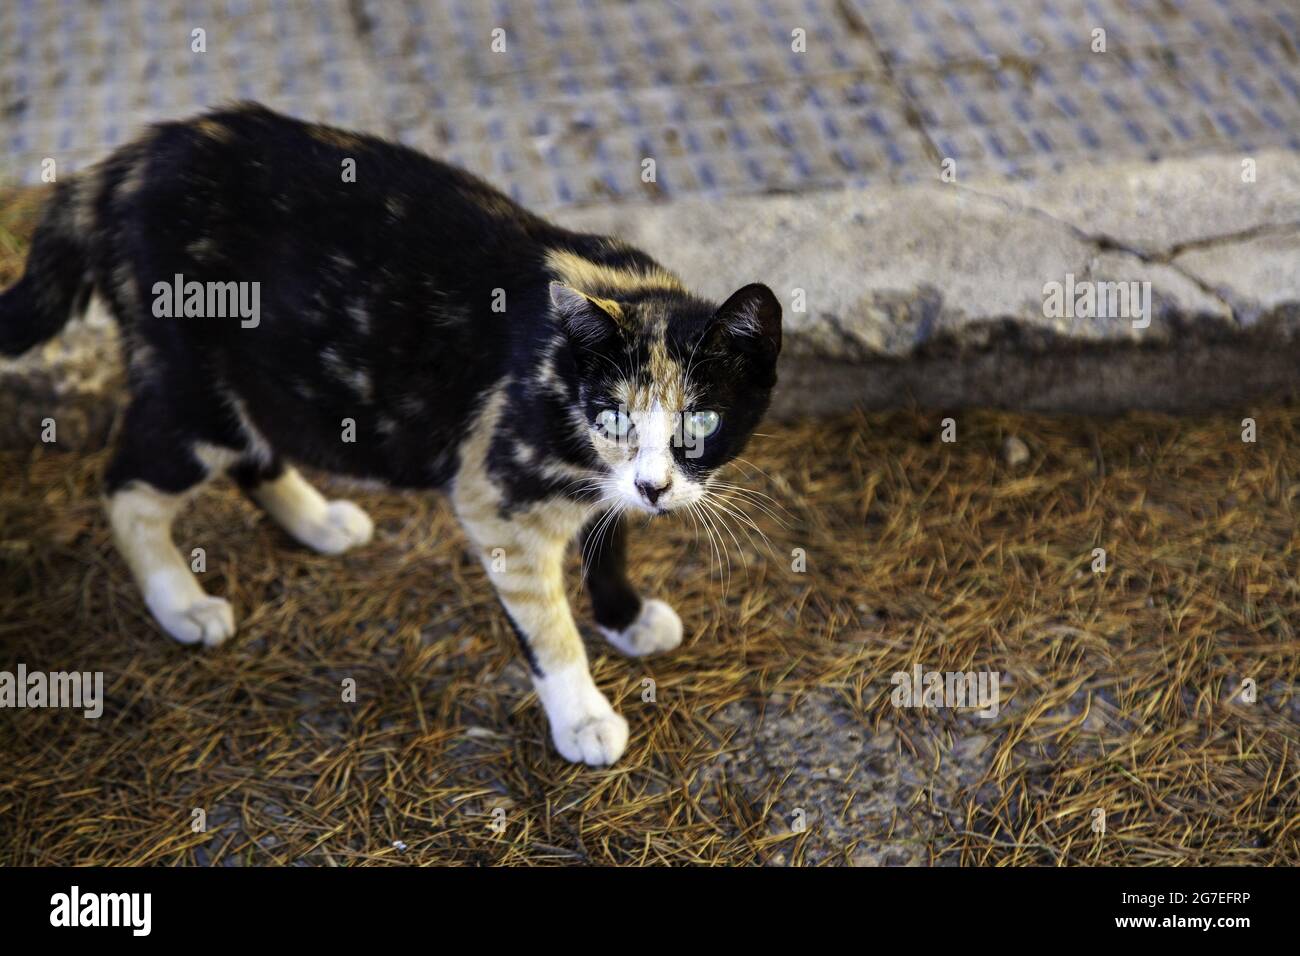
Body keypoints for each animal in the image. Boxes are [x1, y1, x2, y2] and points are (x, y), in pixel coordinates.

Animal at [0, 104, 780, 764]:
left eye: (702, 420)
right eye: (615, 416)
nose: (655, 487)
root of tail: (122, 165)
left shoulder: (603, 482)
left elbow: (608, 535)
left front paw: (626, 616)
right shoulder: (496, 496)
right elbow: (546, 623)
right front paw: (583, 716)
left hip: (267, 380)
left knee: (253, 453)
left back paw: (320, 523)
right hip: (194, 392)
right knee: (127, 485)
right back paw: (181, 603)